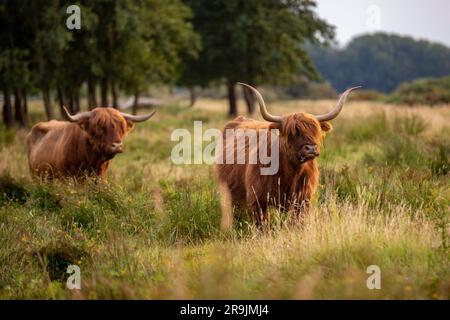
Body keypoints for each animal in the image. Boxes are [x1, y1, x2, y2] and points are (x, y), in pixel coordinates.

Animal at [216, 82, 360, 228]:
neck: (291, 173)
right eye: (293, 132)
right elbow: (262, 226)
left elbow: (296, 223)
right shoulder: (258, 199)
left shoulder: (302, 200)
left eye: (315, 131)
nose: (311, 149)